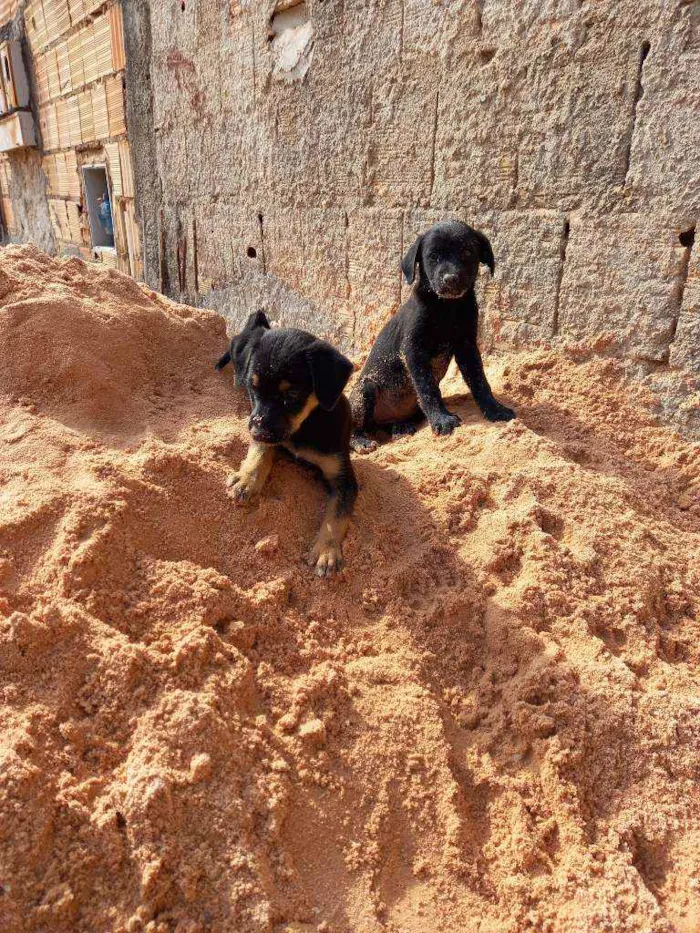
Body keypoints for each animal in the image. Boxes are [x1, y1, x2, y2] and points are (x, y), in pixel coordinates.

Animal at [215, 314, 358, 576]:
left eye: (290, 396)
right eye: (253, 387)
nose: (256, 429)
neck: (306, 425)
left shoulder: (344, 478)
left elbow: (336, 515)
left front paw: (326, 551)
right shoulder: (266, 432)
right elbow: (260, 452)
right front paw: (247, 479)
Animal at [350, 219, 516, 452]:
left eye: (466, 252)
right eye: (433, 256)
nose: (450, 279)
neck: (447, 307)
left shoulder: (467, 346)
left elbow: (480, 381)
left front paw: (495, 409)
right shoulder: (414, 351)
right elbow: (427, 388)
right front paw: (441, 419)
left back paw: (400, 427)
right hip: (363, 391)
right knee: (354, 427)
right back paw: (361, 441)